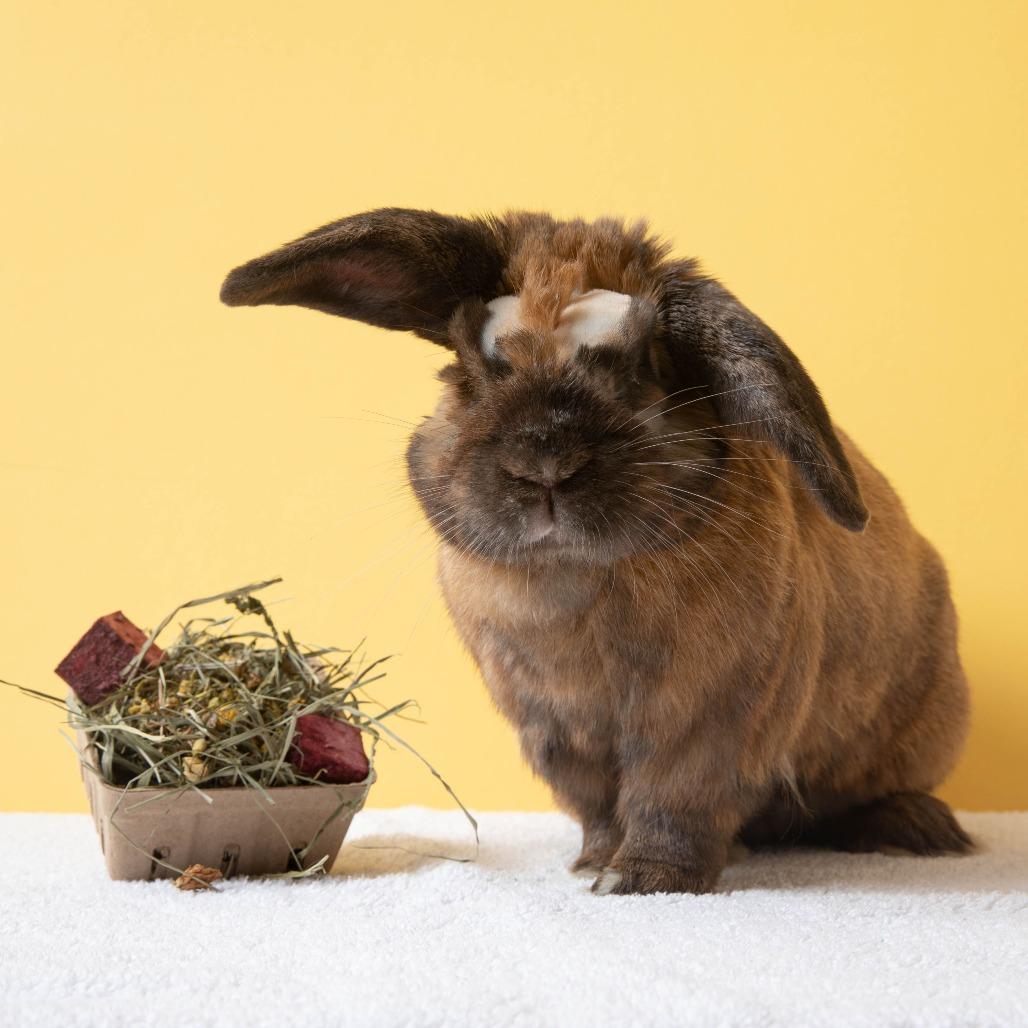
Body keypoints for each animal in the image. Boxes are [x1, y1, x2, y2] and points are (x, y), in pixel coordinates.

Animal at [221, 208, 972, 894]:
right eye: (472, 365)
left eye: (646, 366)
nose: (545, 461)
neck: (573, 576)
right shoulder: (556, 730)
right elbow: (600, 806)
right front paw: (594, 864)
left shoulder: (707, 719)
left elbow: (673, 800)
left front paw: (642, 881)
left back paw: (919, 829)